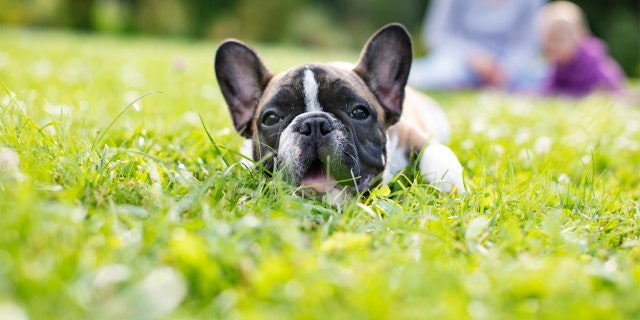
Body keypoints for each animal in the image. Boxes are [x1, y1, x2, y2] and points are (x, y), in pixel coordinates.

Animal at [215, 23, 464, 199]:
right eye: (271, 118)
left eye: (359, 113)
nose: (314, 124)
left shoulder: (413, 136)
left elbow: (437, 152)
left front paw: (451, 187)